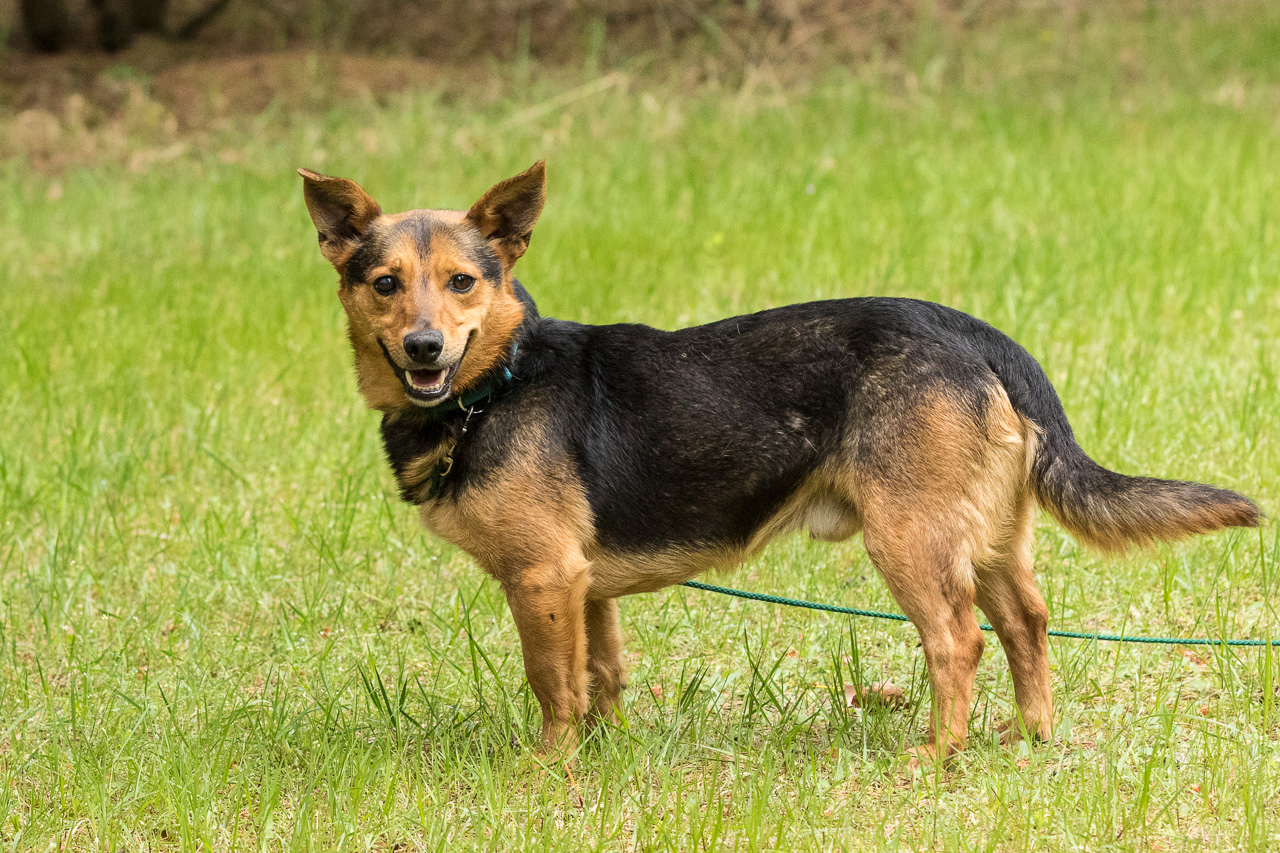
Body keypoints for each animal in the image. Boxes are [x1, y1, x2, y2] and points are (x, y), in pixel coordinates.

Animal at [299, 161, 1259, 765]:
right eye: (384, 283)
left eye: (463, 282)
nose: (424, 348)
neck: (496, 381)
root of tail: (975, 333)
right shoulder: (585, 585)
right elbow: (600, 675)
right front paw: (607, 760)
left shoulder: (542, 577)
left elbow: (552, 683)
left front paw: (547, 771)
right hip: (987, 535)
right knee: (1027, 622)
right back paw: (1031, 736)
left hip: (910, 537)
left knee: (959, 639)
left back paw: (937, 752)